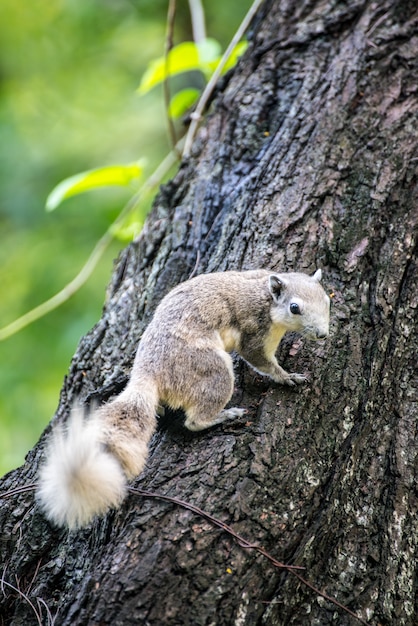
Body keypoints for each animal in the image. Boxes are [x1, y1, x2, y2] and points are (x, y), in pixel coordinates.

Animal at [36, 266, 330, 528]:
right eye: (294, 307)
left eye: (327, 299)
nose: (323, 334)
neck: (265, 296)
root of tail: (149, 372)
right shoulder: (254, 331)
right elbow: (260, 359)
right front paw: (286, 376)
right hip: (210, 370)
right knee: (195, 420)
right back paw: (223, 416)